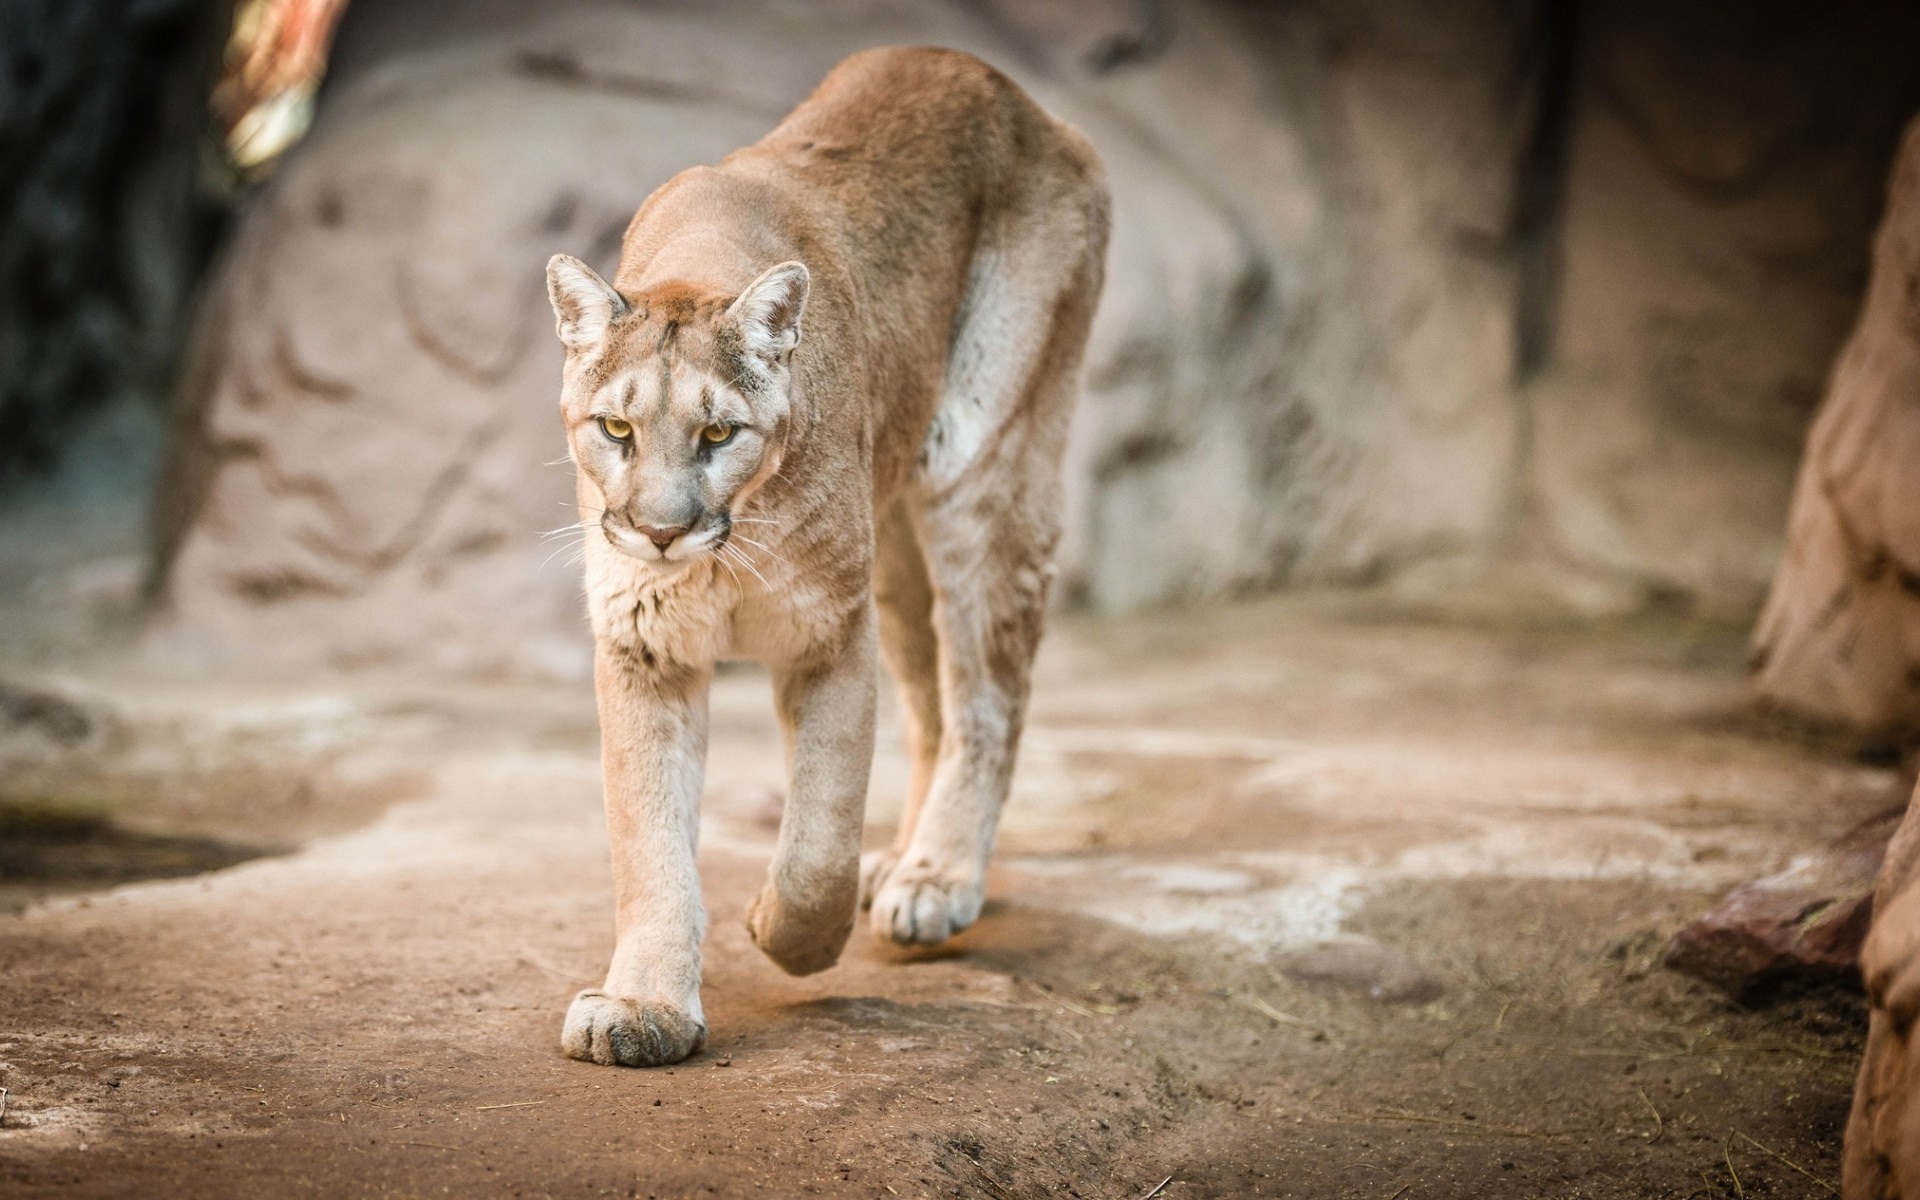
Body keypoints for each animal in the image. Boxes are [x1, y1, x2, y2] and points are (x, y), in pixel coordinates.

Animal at [541, 46, 1113, 1059]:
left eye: (718, 433)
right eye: (615, 428)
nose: (660, 531)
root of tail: (996, 81)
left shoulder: (827, 634)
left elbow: (818, 835)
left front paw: (782, 931)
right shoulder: (644, 646)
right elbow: (648, 840)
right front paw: (646, 1008)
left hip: (986, 468)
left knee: (988, 694)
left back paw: (936, 877)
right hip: (896, 550)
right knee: (934, 698)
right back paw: (906, 862)